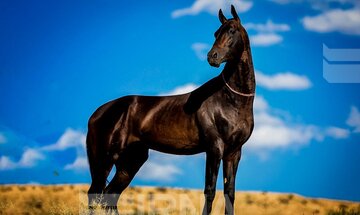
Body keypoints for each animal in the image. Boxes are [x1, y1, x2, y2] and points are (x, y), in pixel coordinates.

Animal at [86, 5, 256, 215]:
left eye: (232, 30)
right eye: (216, 33)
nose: (212, 57)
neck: (231, 101)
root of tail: (97, 114)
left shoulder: (234, 152)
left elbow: (229, 193)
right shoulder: (214, 148)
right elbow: (210, 190)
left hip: (130, 161)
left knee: (110, 195)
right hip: (105, 158)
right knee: (95, 193)